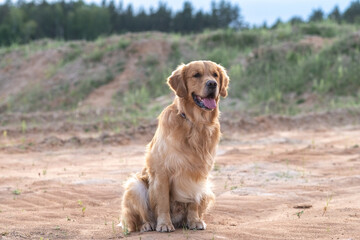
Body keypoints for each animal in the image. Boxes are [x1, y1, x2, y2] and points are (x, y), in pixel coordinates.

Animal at [119, 59, 229, 232]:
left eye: (215, 75)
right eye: (196, 75)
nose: (212, 84)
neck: (196, 123)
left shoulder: (198, 172)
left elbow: (193, 200)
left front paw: (194, 221)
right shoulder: (162, 172)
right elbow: (163, 202)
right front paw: (164, 224)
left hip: (207, 190)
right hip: (135, 186)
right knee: (139, 218)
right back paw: (148, 224)